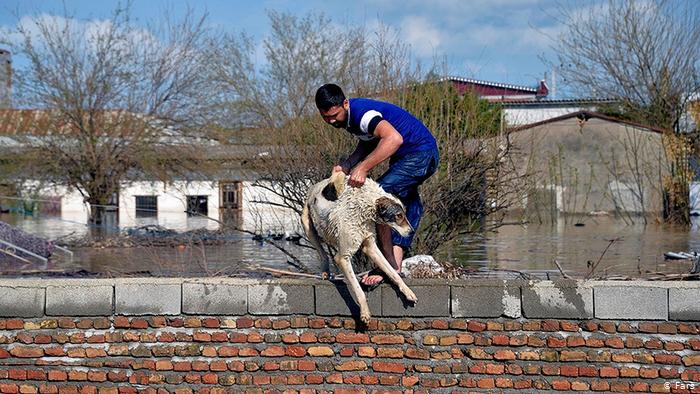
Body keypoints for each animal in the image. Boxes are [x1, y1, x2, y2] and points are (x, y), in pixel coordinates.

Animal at [300, 172, 416, 324]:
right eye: (398, 216)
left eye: (404, 214)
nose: (412, 232)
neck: (364, 205)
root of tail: (316, 185)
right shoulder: (342, 257)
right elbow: (358, 289)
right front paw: (365, 312)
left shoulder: (371, 247)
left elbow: (392, 272)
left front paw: (408, 292)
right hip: (307, 226)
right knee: (322, 252)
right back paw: (325, 271)